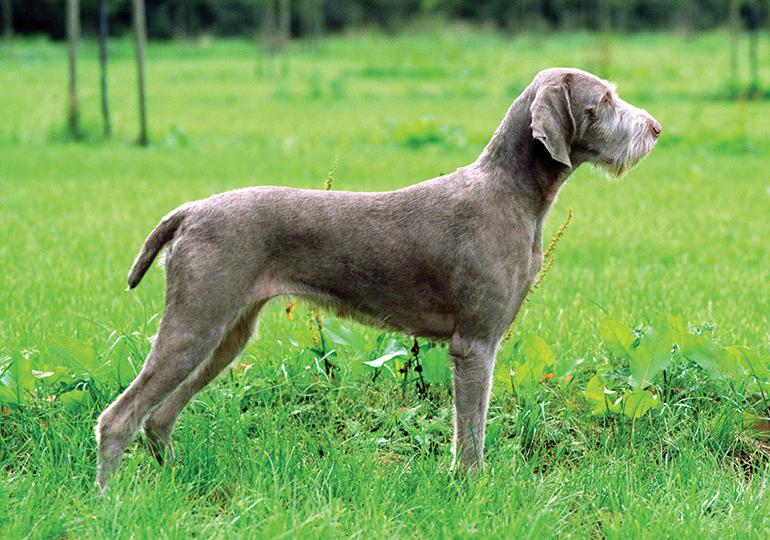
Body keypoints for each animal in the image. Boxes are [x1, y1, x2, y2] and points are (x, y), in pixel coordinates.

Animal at [94, 67, 660, 490]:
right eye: (604, 99)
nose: (655, 128)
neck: (512, 192)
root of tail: (189, 211)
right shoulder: (475, 343)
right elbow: (470, 434)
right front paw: (471, 488)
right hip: (196, 322)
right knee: (119, 418)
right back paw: (108, 499)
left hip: (228, 334)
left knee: (159, 418)